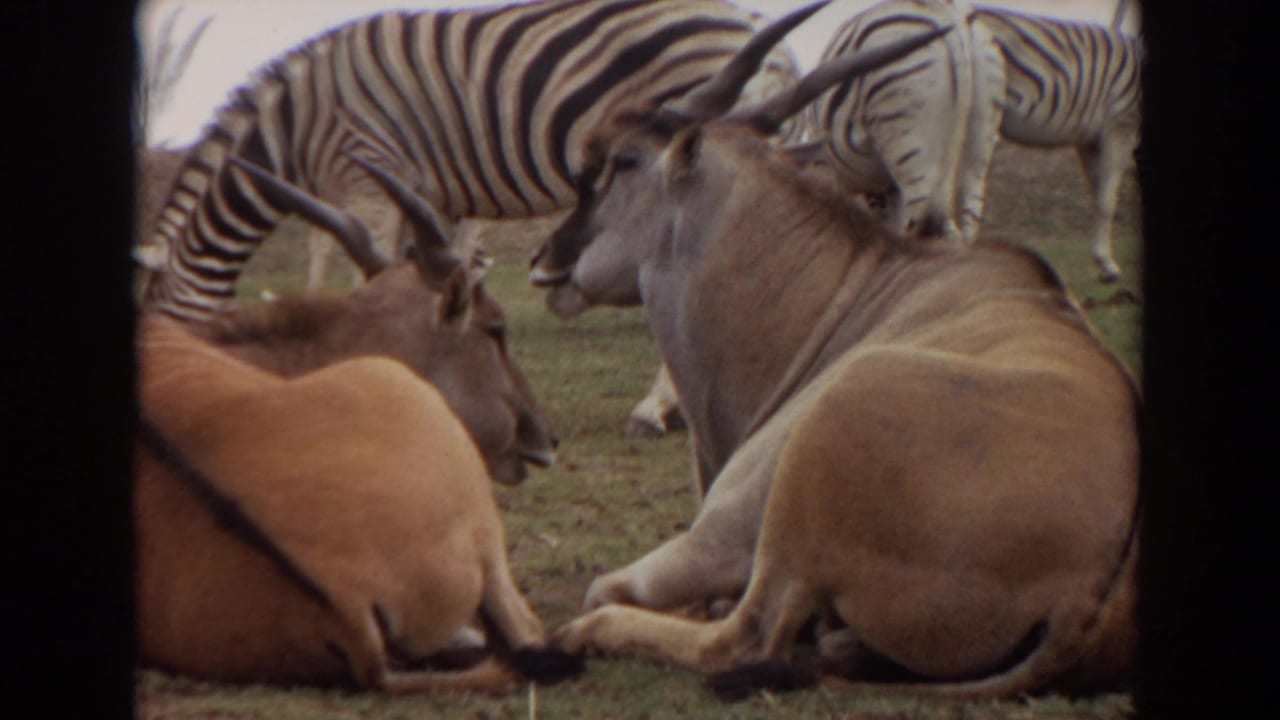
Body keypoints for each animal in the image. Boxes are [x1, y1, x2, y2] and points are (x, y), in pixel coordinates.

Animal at [973, 3, 1144, 282]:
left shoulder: (1089, 140)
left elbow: (1099, 194)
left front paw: (1101, 260)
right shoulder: (1120, 124)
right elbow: (1108, 199)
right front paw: (1108, 266)